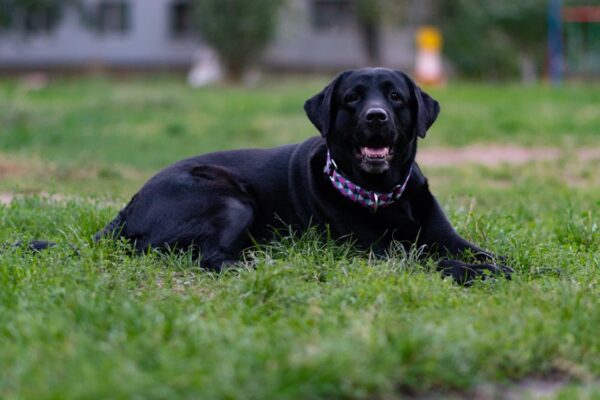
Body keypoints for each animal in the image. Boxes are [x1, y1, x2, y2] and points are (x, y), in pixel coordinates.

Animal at [85, 66, 510, 284]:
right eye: (352, 98)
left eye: (395, 97)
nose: (376, 117)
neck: (384, 194)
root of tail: (128, 207)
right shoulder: (378, 254)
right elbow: (427, 260)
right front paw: (482, 273)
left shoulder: (448, 237)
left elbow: (481, 251)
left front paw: (511, 265)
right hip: (230, 200)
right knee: (209, 258)